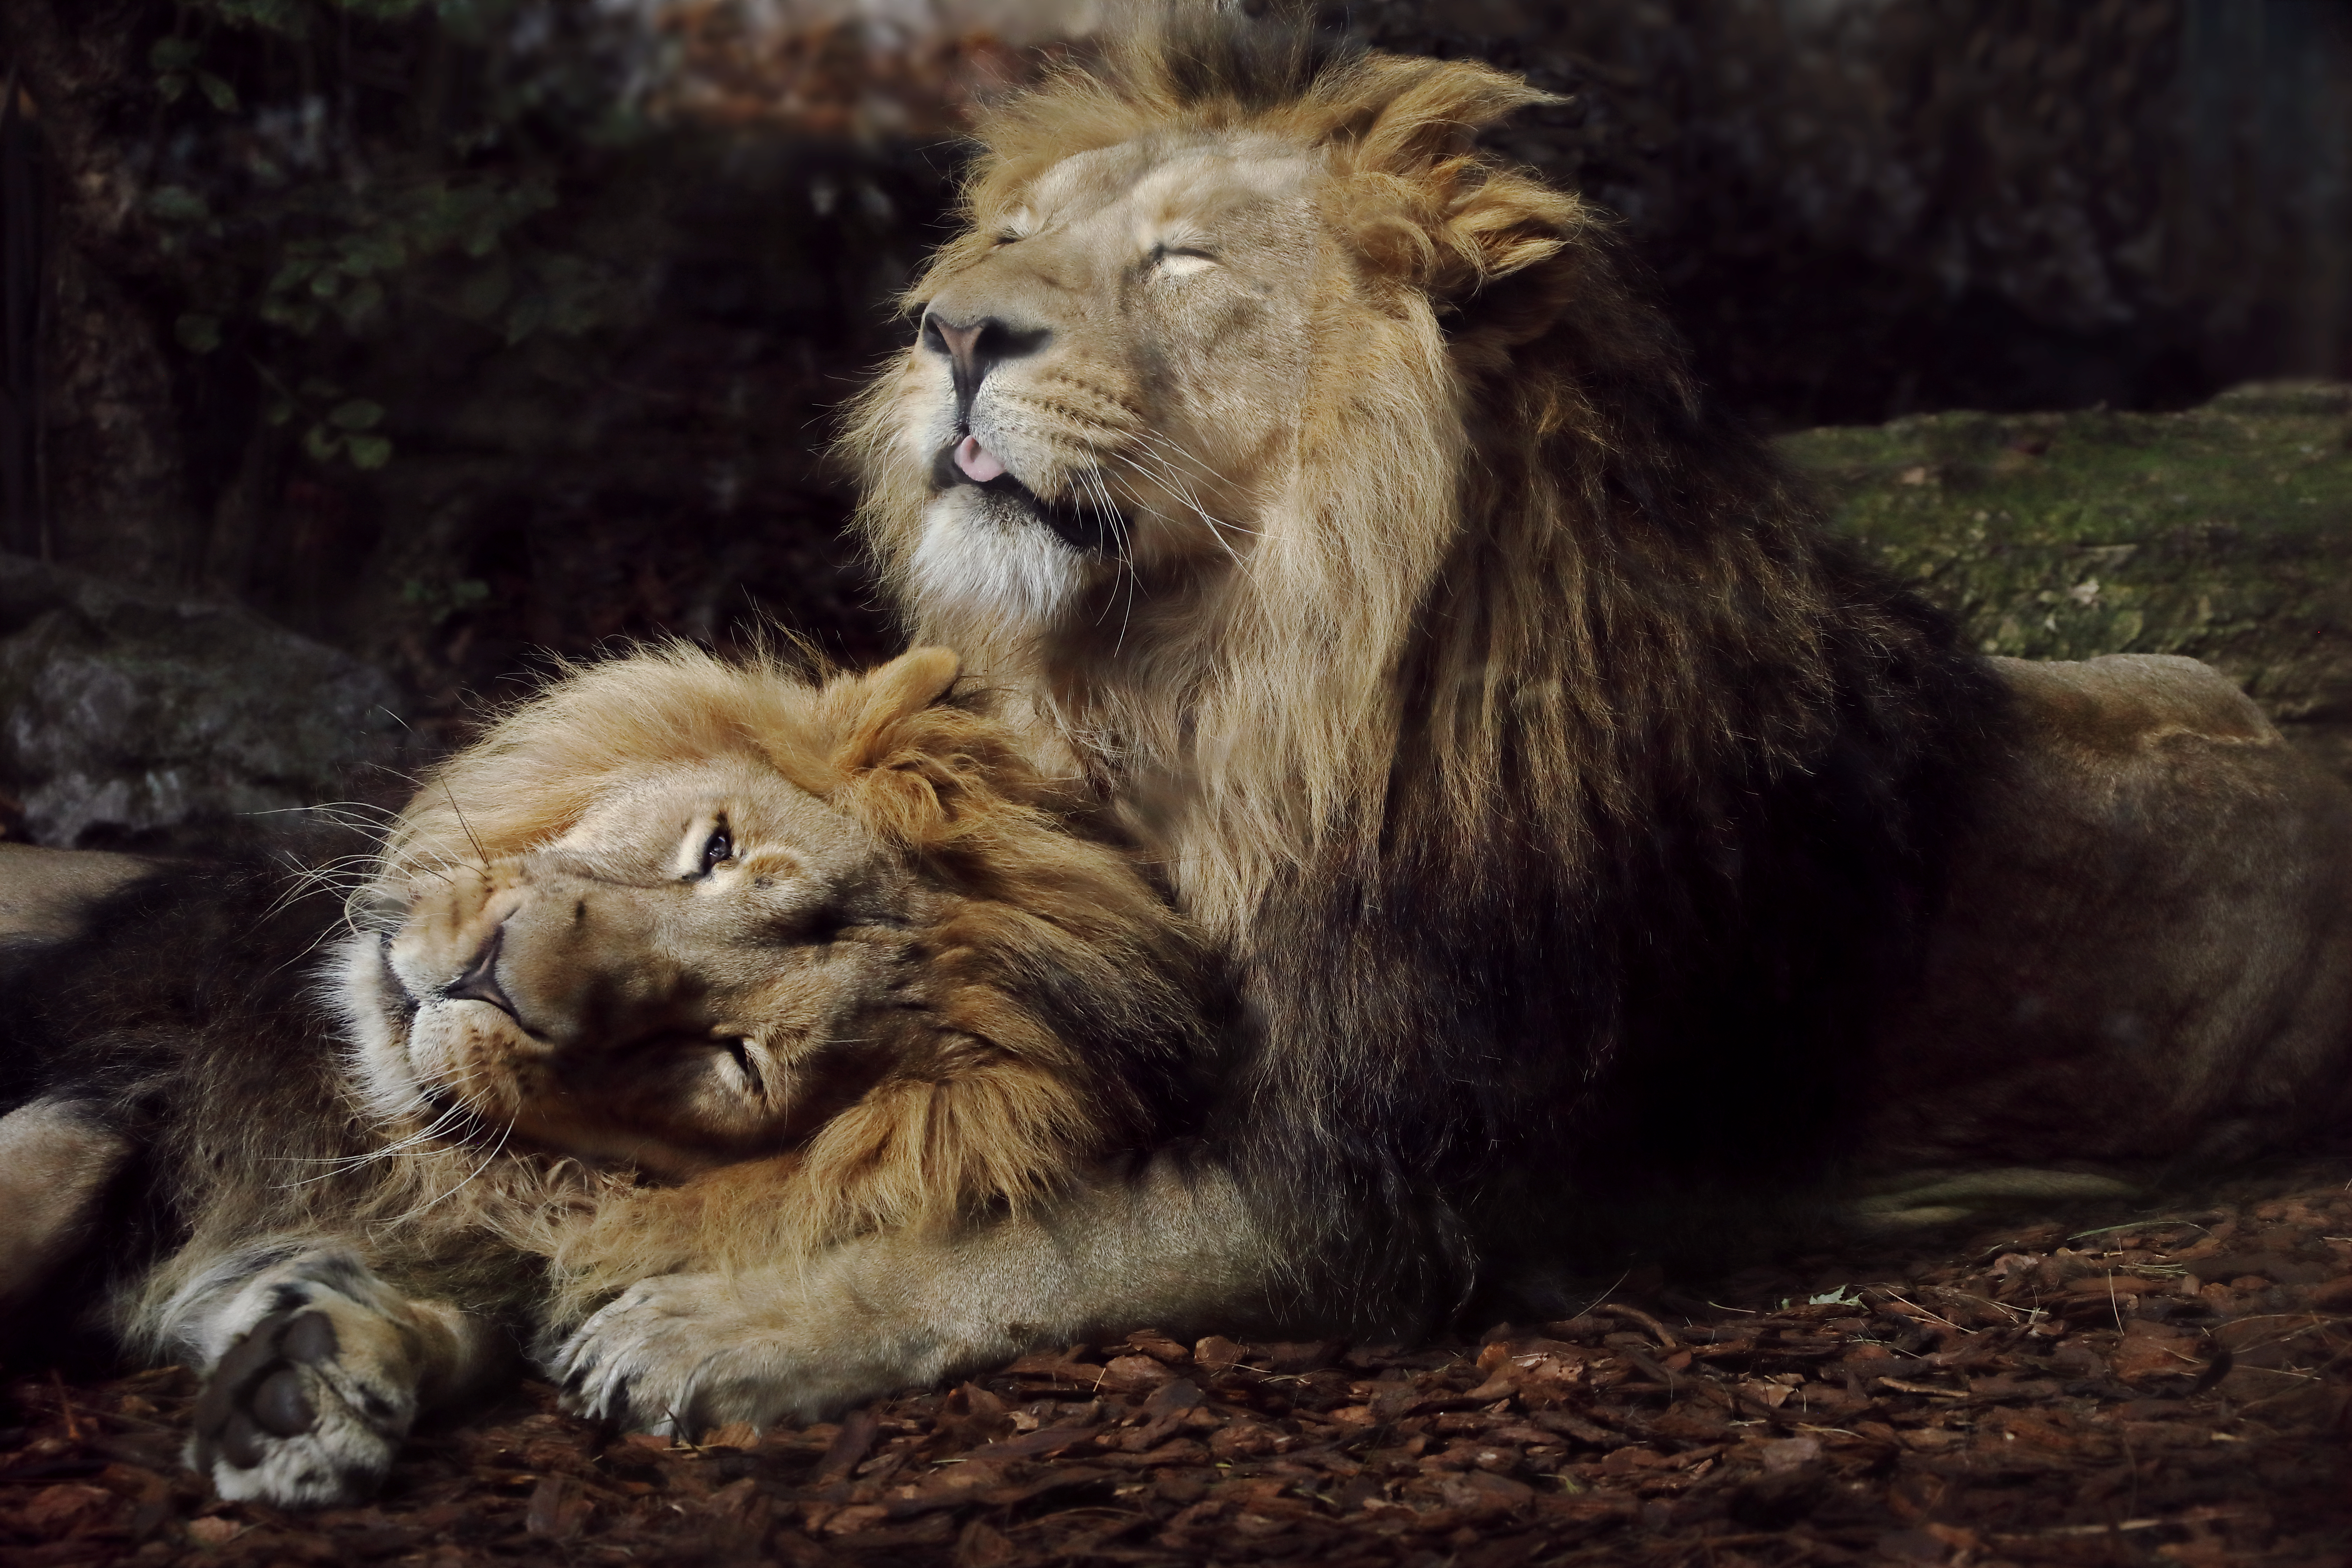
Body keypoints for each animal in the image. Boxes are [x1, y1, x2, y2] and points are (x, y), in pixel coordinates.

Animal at [545, 9, 2352, 1433]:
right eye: (1006, 243)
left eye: (1182, 258)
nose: (952, 334)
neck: (1207, 688)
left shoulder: (1392, 1184)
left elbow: (1030, 1239)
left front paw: (712, 1321)